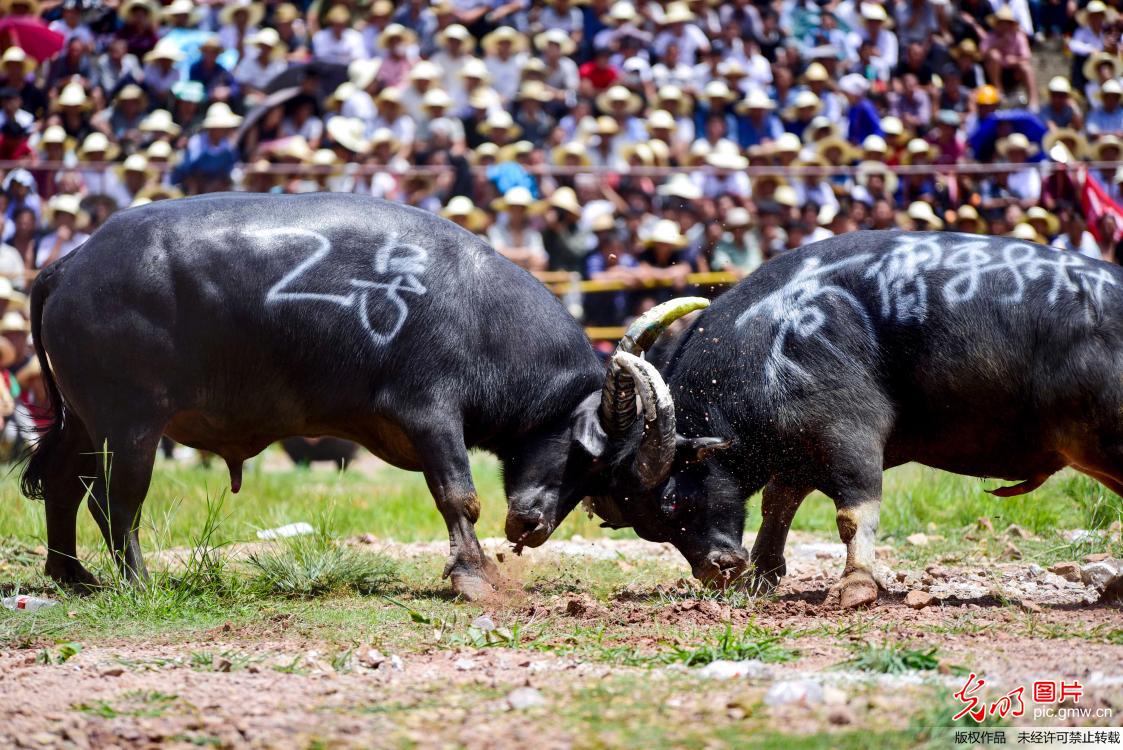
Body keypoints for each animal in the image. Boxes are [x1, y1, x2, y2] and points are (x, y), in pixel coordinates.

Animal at [17, 191, 700, 597]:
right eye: (590, 456)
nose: (531, 528)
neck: (477, 312)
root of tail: (69, 266)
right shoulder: (432, 417)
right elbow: (459, 496)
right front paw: (474, 576)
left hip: (84, 420)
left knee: (62, 482)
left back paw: (71, 573)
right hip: (130, 426)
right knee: (115, 502)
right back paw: (138, 583)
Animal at [530, 231, 1123, 606]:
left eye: (673, 499)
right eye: (648, 526)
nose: (717, 570)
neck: (773, 337)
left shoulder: (848, 438)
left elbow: (851, 513)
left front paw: (855, 586)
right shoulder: (798, 450)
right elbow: (778, 502)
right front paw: (764, 573)